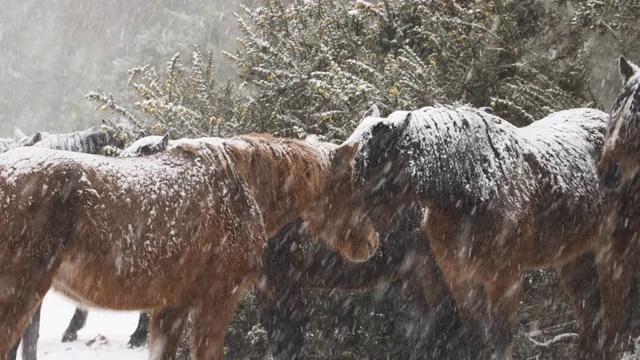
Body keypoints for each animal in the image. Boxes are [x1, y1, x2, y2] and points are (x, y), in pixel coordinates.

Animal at [344, 105, 632, 360]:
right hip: (574, 261)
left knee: (613, 325)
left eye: (371, 173)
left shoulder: (505, 278)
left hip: (614, 256)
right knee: (590, 322)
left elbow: (501, 338)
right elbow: (477, 338)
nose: (354, 242)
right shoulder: (460, 279)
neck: (474, 190)